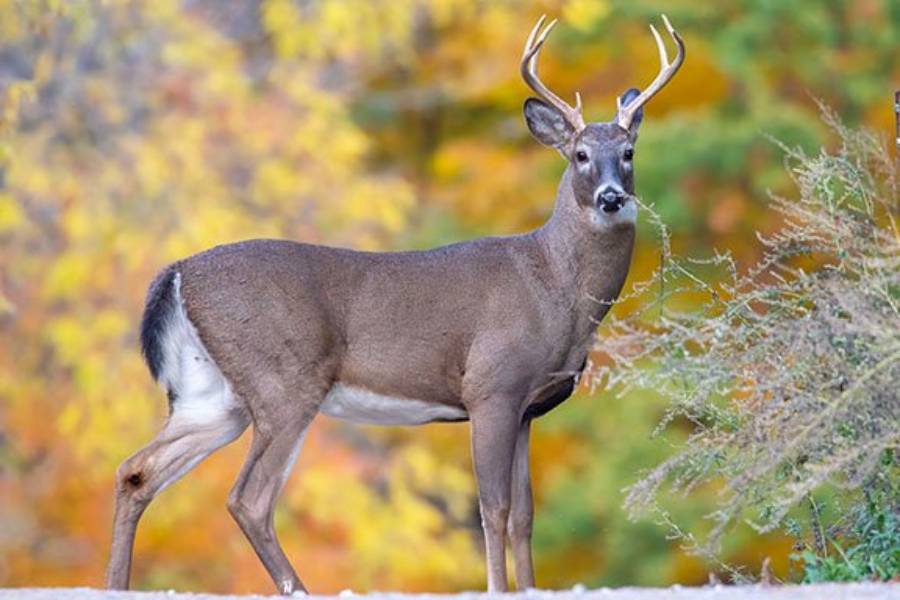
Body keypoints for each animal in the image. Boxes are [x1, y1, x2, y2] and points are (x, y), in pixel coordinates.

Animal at [106, 14, 685, 595]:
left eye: (629, 153)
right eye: (580, 155)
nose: (611, 197)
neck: (554, 284)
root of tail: (177, 272)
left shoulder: (528, 408)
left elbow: (524, 516)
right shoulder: (491, 387)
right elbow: (493, 510)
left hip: (212, 395)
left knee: (137, 470)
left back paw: (116, 582)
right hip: (283, 380)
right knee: (249, 498)